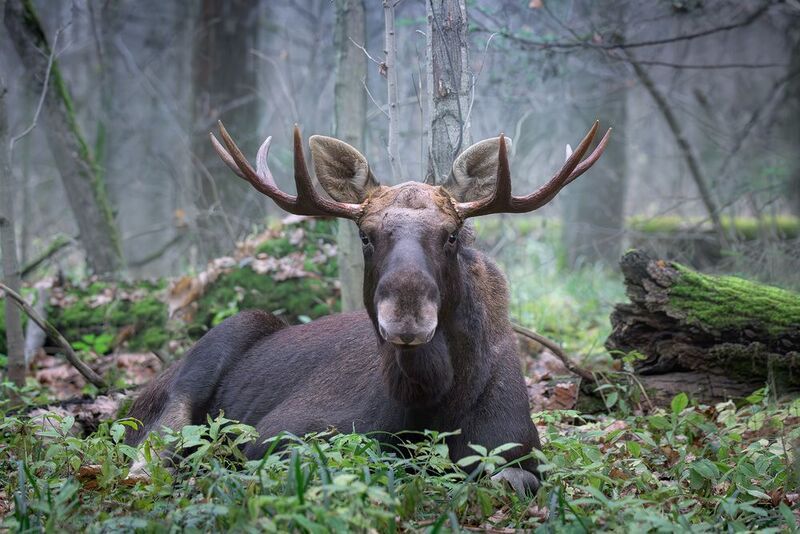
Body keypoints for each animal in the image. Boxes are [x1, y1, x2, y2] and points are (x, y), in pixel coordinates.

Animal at [125, 119, 610, 495]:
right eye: (365, 235)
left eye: (453, 235)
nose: (407, 314)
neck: (436, 406)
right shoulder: (276, 434)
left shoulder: (519, 450)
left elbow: (509, 480)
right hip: (207, 357)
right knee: (151, 452)